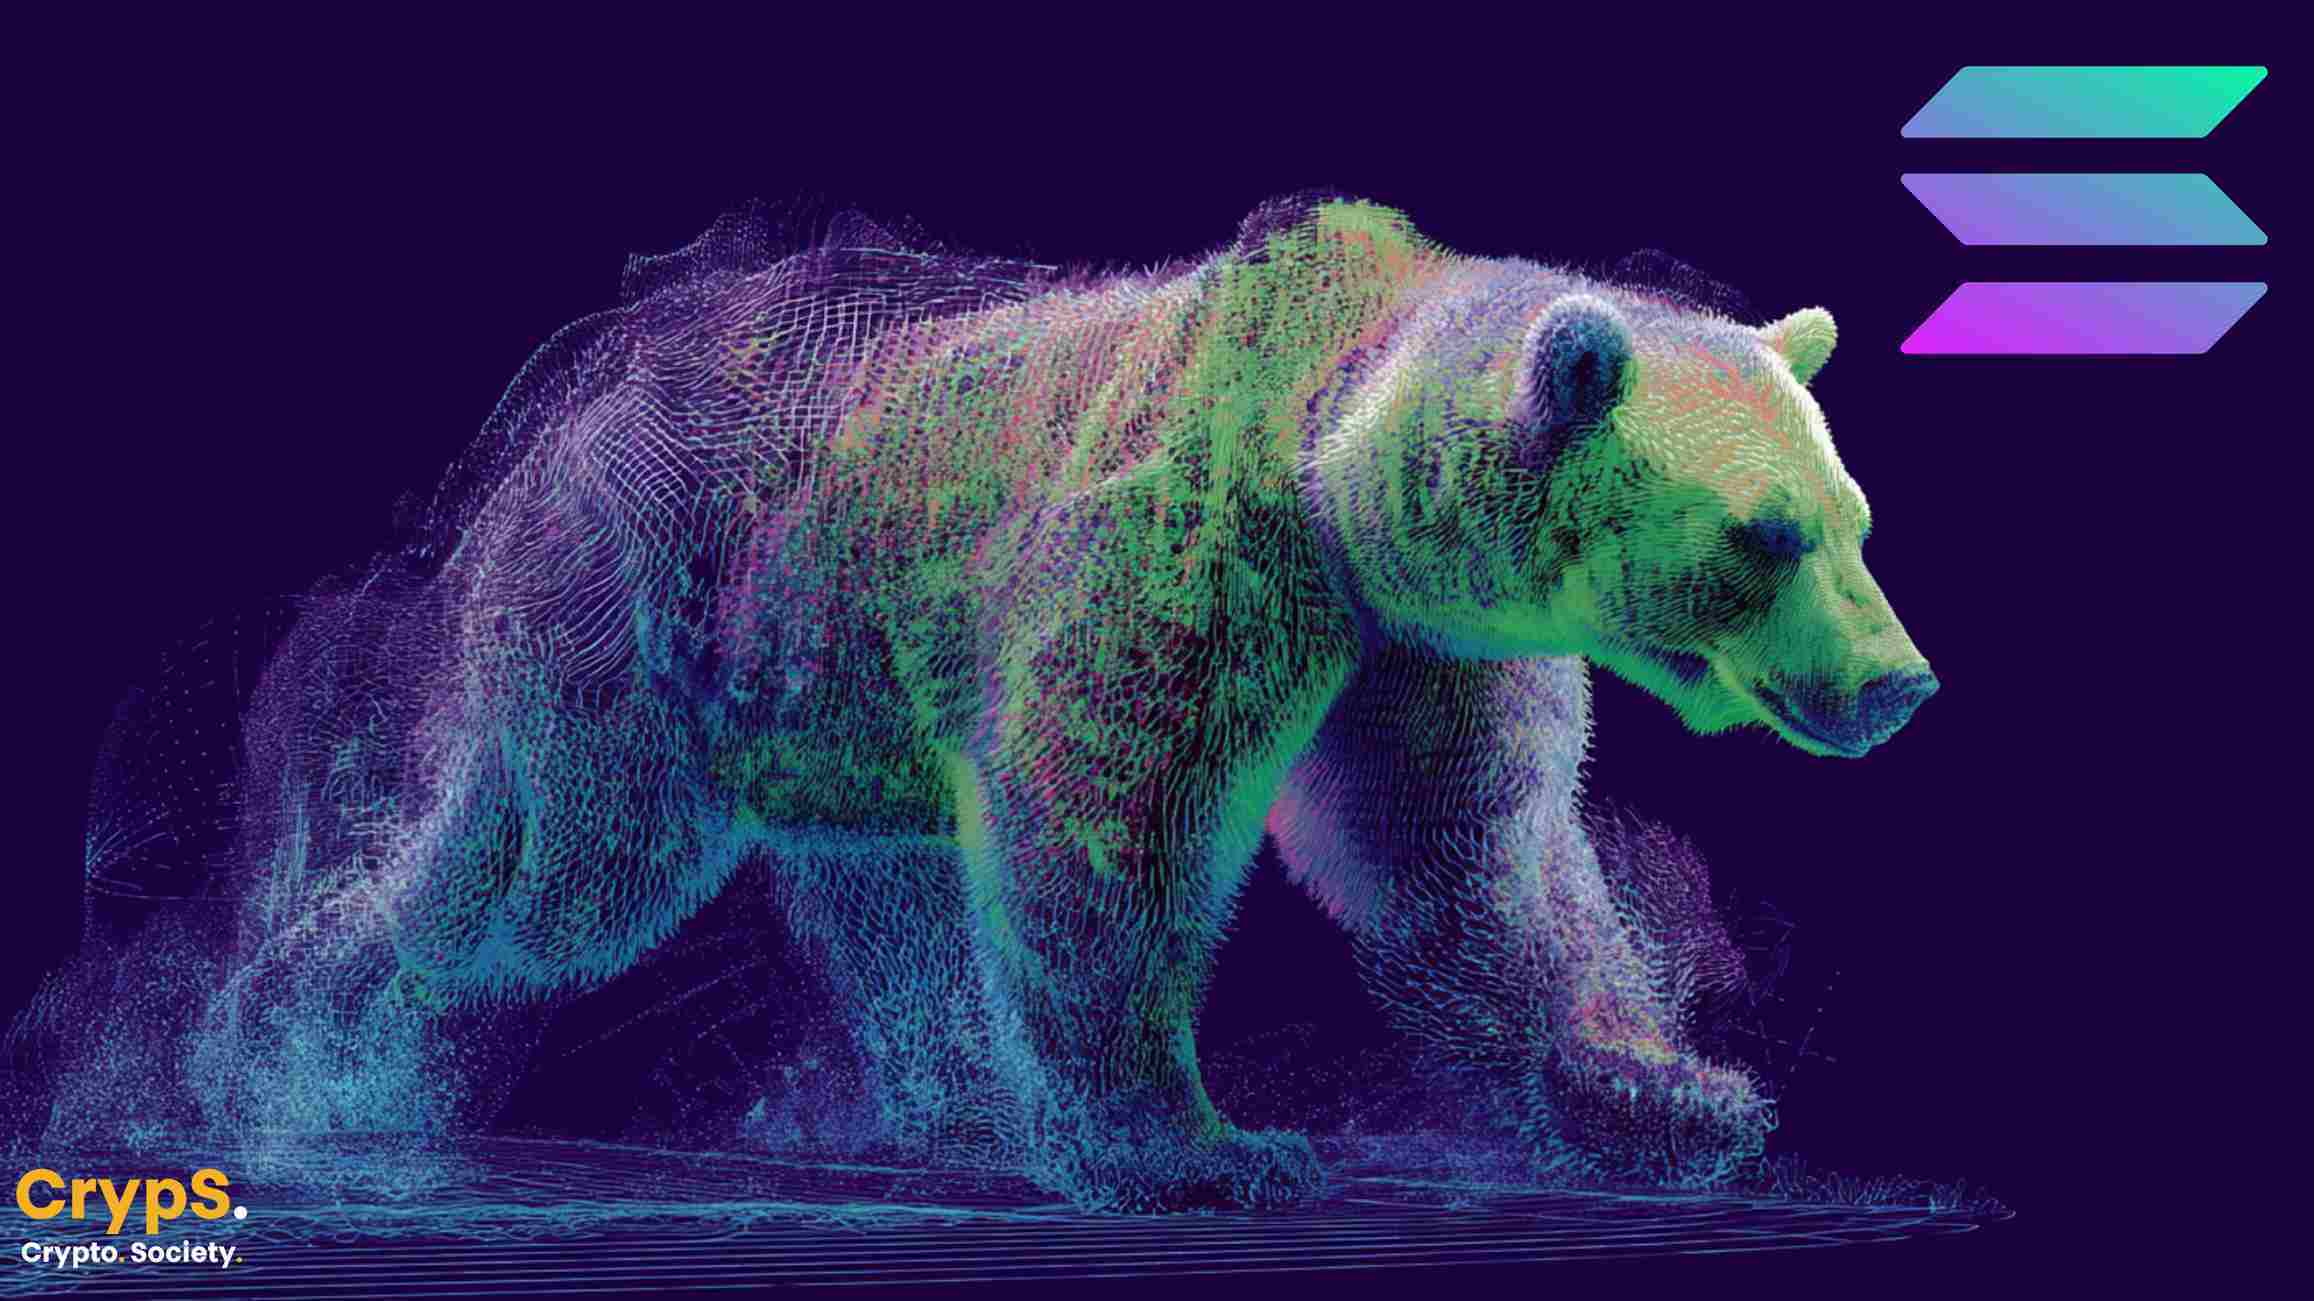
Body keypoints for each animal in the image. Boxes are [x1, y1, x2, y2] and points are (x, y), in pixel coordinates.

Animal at [30, 194, 1935, 1213]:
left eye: (1851, 517)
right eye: (1763, 535)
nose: (1894, 683)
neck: (1334, 458)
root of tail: (557, 423)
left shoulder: (1419, 647)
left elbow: (1472, 871)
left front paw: (1673, 1092)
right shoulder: (1190, 556)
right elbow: (1107, 823)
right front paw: (1202, 1146)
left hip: (825, 683)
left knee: (885, 902)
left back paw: (957, 1100)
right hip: (635, 619)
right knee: (537, 875)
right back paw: (291, 1038)